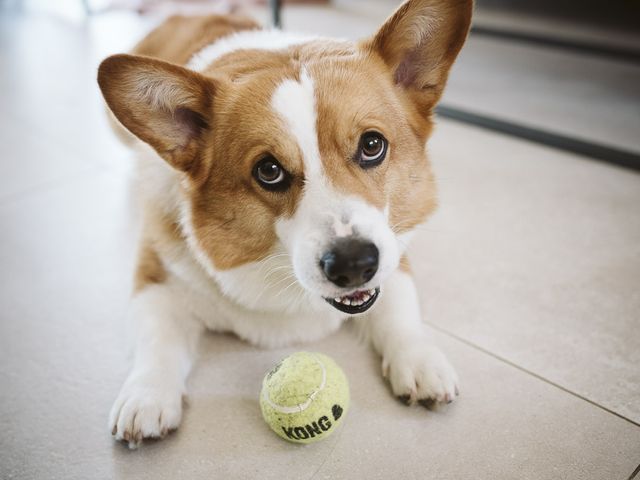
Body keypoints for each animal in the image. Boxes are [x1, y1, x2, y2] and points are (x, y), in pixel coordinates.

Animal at [99, 0, 470, 446]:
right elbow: (157, 339)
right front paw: (147, 396)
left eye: (372, 145)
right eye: (269, 170)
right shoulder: (155, 276)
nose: (353, 265)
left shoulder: (394, 250)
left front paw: (419, 360)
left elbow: (400, 310)